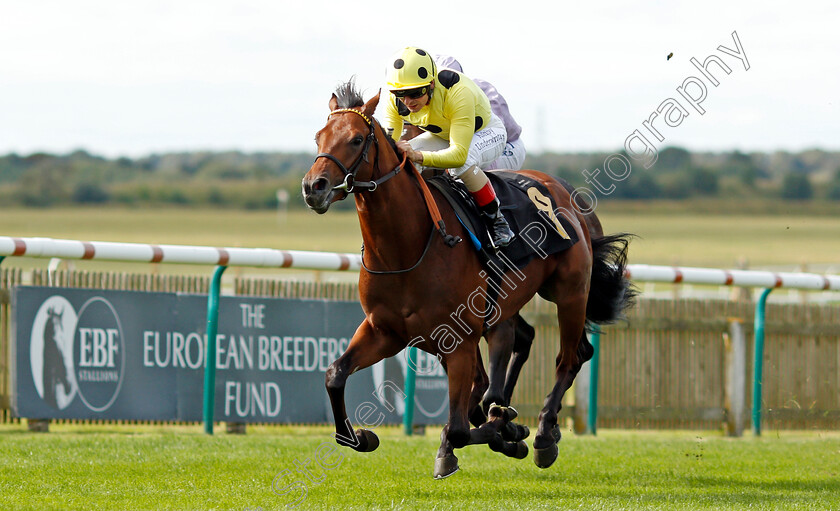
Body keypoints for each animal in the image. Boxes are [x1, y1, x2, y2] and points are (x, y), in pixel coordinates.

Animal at [298, 80, 632, 480]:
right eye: (319, 137)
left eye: (356, 139)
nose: (313, 187)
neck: (407, 247)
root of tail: (566, 193)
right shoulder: (385, 331)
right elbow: (335, 374)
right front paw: (360, 437)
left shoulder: (457, 339)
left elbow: (459, 427)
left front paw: (502, 432)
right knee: (529, 344)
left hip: (570, 292)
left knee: (569, 357)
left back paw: (543, 433)